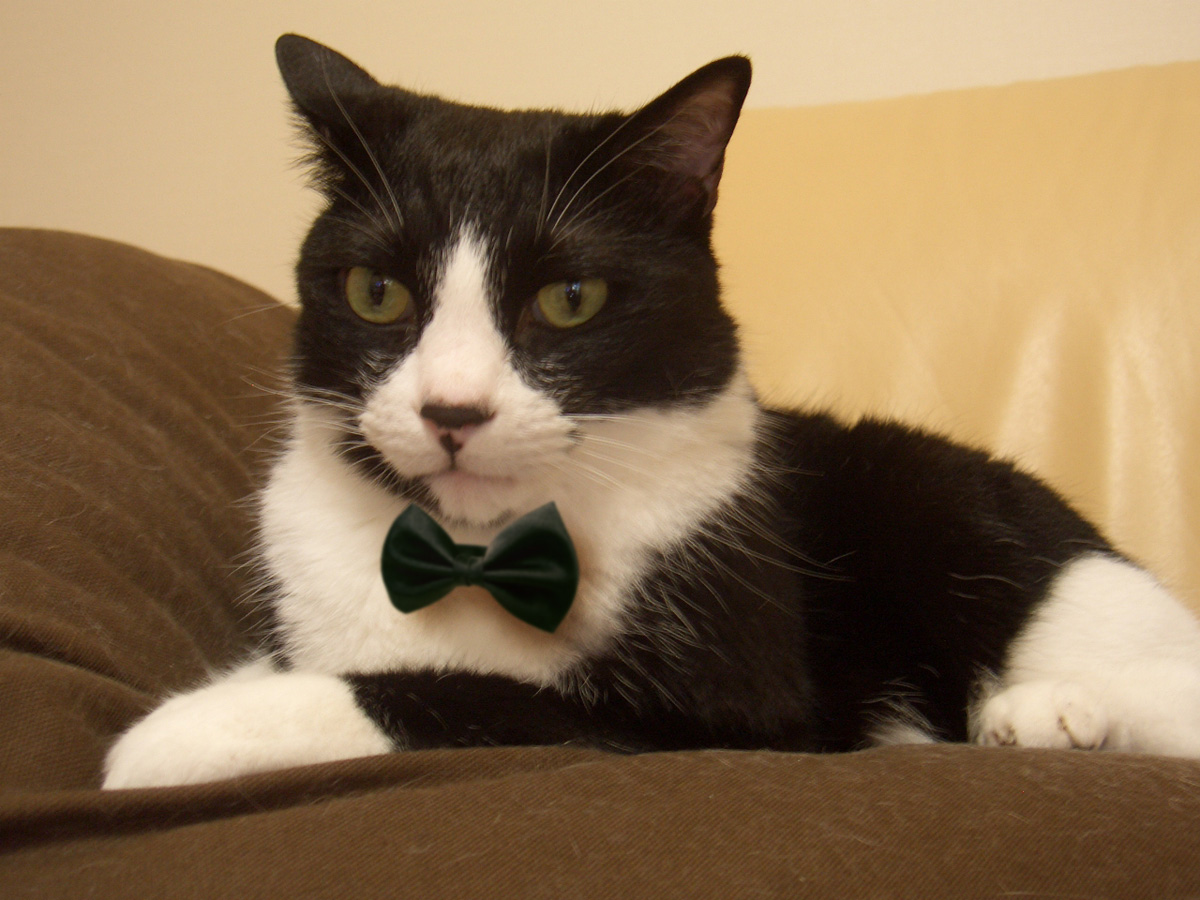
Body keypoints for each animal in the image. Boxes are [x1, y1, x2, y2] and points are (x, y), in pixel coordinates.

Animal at [102, 34, 1200, 788]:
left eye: (570, 300)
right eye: (376, 292)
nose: (453, 410)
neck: (474, 551)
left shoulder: (735, 719)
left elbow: (470, 695)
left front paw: (172, 736)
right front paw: (227, 693)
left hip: (968, 523)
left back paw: (1050, 713)